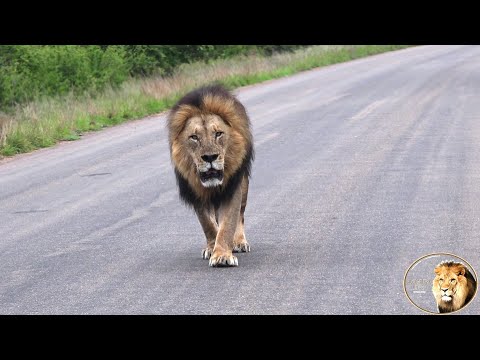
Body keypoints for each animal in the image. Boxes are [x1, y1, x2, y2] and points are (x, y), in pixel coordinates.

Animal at [167, 85, 253, 268]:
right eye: (194, 137)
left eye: (218, 134)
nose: (210, 157)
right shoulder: (196, 192)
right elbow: (208, 224)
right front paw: (212, 248)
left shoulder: (232, 189)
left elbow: (228, 223)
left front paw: (222, 256)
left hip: (244, 187)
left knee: (240, 216)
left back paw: (240, 242)